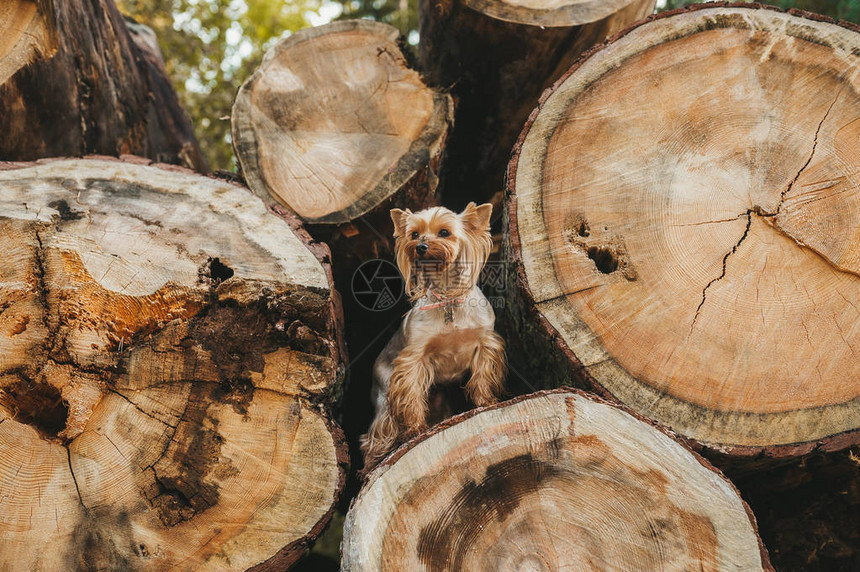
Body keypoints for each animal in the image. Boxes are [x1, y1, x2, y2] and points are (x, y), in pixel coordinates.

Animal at [362, 203, 508, 466]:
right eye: (414, 235)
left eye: (444, 232)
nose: (420, 246)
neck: (448, 298)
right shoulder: (414, 357)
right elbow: (411, 393)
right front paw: (415, 428)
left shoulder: (485, 343)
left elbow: (482, 376)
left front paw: (487, 402)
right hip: (384, 390)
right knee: (380, 429)